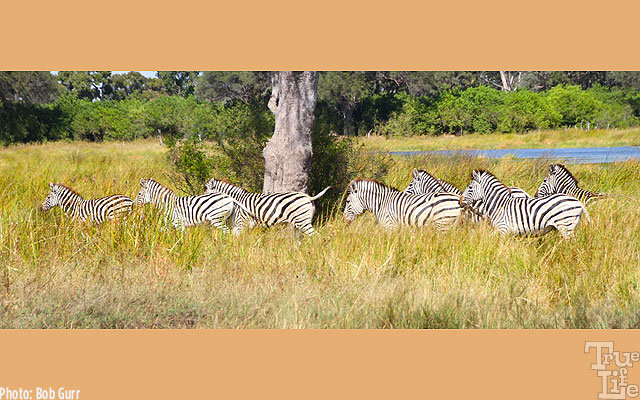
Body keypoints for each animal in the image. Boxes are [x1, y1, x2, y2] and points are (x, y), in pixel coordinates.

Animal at [460, 169, 592, 238]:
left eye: (470, 188)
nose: (460, 202)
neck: (499, 205)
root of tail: (578, 201)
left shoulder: (502, 229)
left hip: (566, 226)